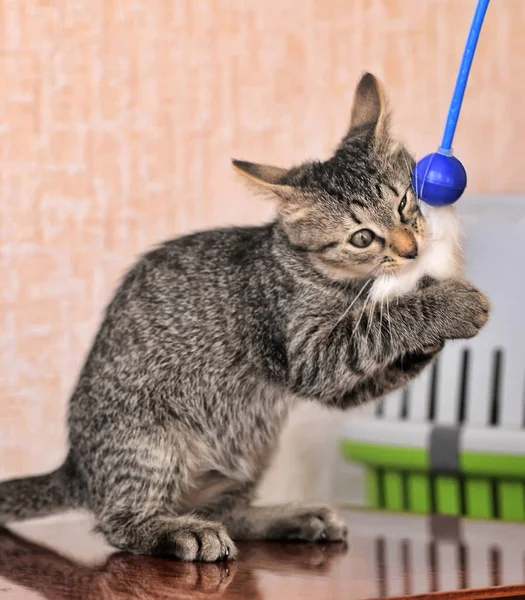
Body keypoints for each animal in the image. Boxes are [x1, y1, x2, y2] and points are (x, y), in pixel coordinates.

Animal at [2, 75, 490, 564]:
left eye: (406, 203)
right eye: (362, 238)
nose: (410, 249)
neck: (324, 275)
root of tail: (77, 468)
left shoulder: (339, 385)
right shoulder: (310, 356)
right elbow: (377, 325)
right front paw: (446, 305)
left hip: (252, 448)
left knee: (229, 513)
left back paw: (291, 518)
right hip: (148, 439)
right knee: (120, 523)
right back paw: (181, 531)